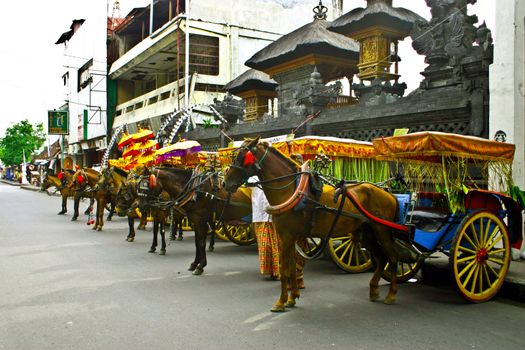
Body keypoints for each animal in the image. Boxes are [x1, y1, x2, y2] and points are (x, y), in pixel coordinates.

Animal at [224, 137, 402, 312]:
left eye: (241, 157)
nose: (226, 183)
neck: (291, 190)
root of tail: (389, 194)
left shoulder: (286, 237)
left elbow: (285, 268)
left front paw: (281, 302)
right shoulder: (289, 237)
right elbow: (292, 266)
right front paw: (292, 297)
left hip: (382, 230)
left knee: (392, 257)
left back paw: (392, 294)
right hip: (366, 233)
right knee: (381, 258)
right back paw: (374, 290)